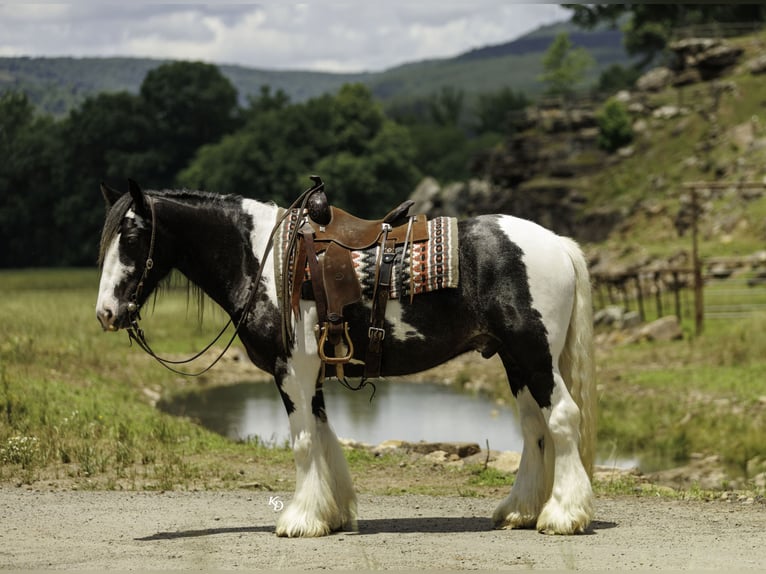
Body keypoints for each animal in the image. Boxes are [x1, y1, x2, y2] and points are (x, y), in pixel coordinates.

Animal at [95, 180, 596, 537]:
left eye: (133, 234)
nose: (106, 313)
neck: (261, 260)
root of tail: (556, 243)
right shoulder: (311, 375)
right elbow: (323, 436)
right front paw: (328, 514)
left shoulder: (292, 370)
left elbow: (303, 441)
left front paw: (299, 520)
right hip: (515, 359)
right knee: (534, 429)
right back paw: (519, 511)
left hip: (535, 354)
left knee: (562, 419)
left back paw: (562, 515)